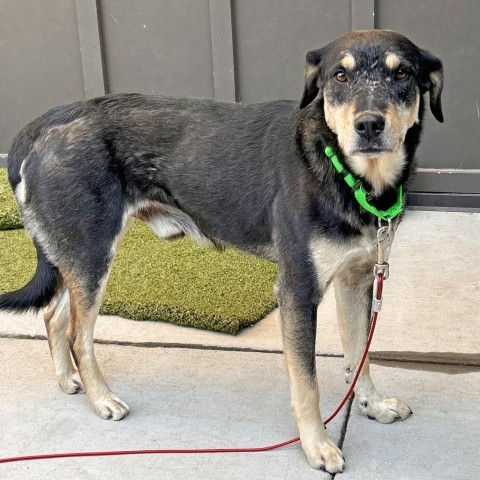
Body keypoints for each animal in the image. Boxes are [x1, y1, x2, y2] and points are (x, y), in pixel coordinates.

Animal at [0, 30, 442, 472]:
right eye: (340, 76)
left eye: (402, 73)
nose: (369, 124)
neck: (345, 174)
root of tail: (38, 126)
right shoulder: (298, 291)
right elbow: (308, 382)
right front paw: (316, 445)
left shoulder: (356, 279)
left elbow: (359, 353)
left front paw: (372, 404)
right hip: (93, 253)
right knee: (78, 335)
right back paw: (102, 399)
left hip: (77, 254)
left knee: (53, 316)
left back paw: (67, 379)